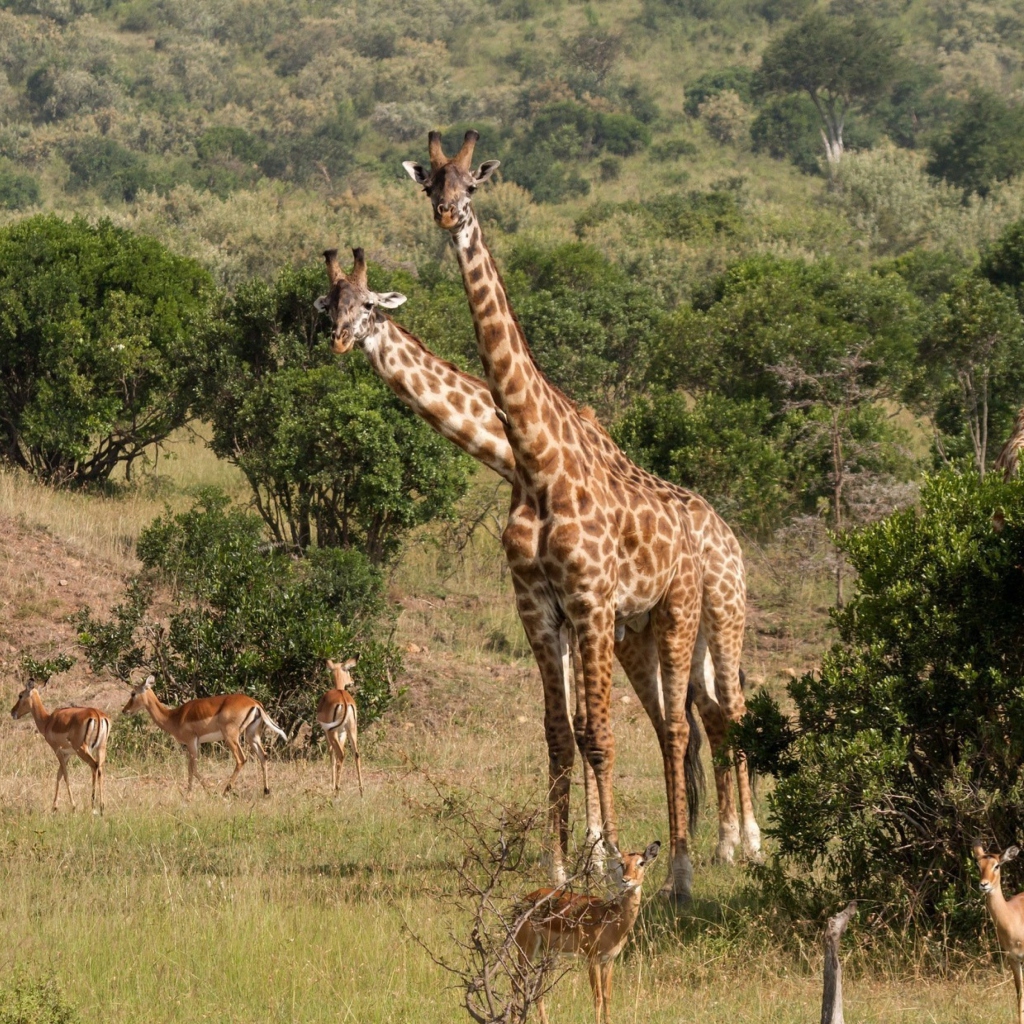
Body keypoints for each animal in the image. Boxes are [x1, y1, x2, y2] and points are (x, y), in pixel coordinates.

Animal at [317, 245, 761, 872]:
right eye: (329, 305)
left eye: (368, 306)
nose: (337, 340)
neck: (513, 456)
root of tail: (729, 533)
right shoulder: (567, 615)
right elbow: (576, 726)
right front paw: (591, 851)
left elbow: (587, 727)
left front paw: (597, 855)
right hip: (658, 635)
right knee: (707, 716)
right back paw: (720, 841)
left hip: (723, 612)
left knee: (734, 710)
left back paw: (747, 841)